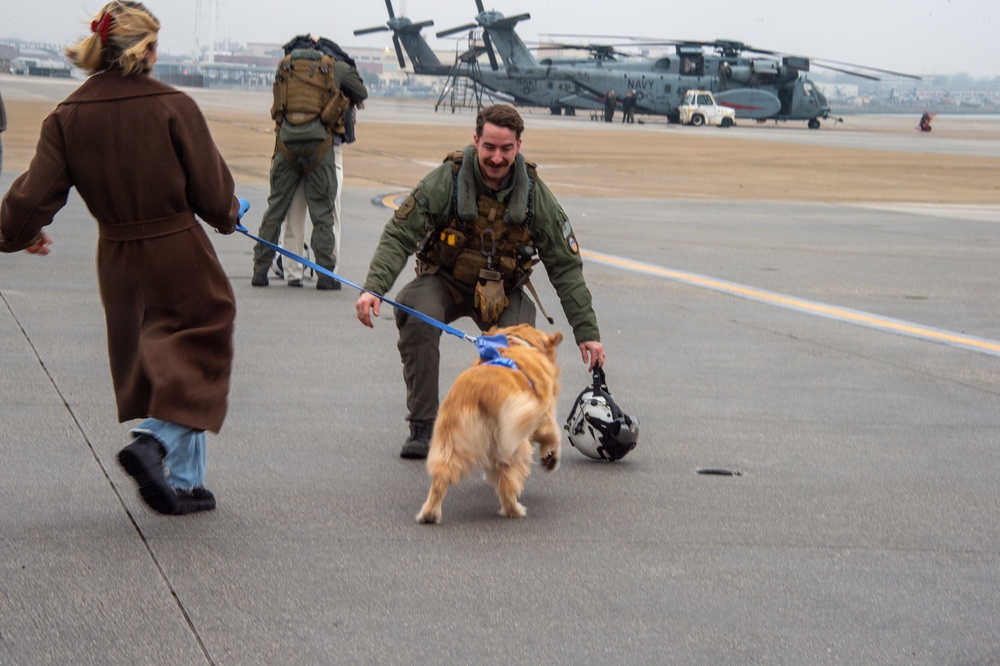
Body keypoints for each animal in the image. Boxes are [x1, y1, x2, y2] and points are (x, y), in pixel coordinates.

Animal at [418, 322, 568, 524]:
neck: (516, 343)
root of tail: (483, 391)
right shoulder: (544, 414)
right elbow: (552, 434)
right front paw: (551, 458)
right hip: (515, 446)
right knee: (507, 484)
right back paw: (514, 509)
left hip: (452, 445)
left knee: (441, 476)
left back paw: (429, 513)